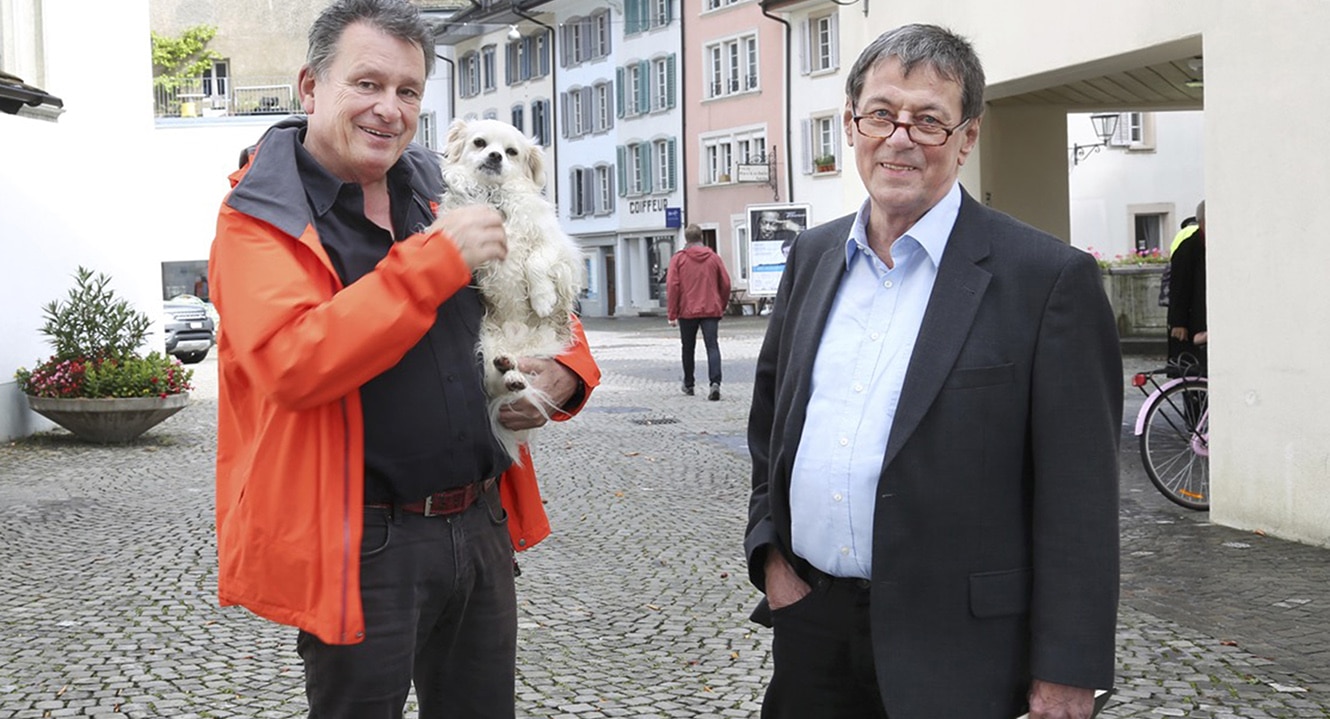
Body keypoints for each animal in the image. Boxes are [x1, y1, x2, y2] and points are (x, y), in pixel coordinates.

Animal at [433, 117, 585, 459]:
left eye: (511, 152)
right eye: (479, 143)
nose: (495, 156)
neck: (495, 197)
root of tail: (516, 344)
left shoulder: (559, 249)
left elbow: (537, 261)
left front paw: (542, 299)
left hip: (541, 346)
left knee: (525, 377)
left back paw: (515, 373)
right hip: (487, 344)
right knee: (496, 380)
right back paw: (508, 371)